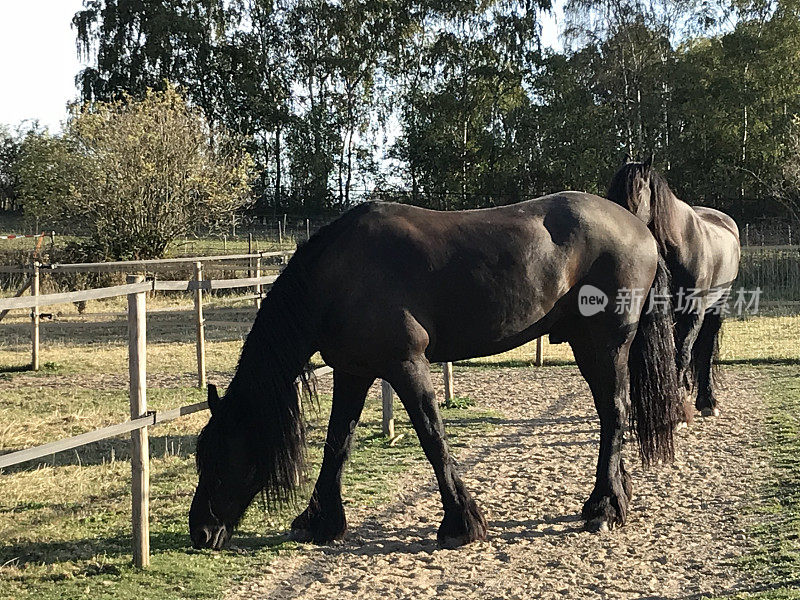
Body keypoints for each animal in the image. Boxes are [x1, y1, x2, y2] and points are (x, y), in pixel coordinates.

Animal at [189, 195, 680, 552]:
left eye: (220, 455)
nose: (201, 533)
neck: (338, 276)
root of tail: (640, 229)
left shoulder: (407, 365)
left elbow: (432, 437)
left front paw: (461, 524)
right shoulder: (352, 372)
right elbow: (337, 444)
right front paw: (321, 521)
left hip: (604, 345)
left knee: (614, 413)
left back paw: (604, 508)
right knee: (611, 414)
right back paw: (615, 495)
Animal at [608, 158, 740, 418]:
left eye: (636, 191)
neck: (681, 246)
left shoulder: (694, 312)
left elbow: (683, 354)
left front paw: (678, 409)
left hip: (717, 306)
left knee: (705, 349)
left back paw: (707, 400)